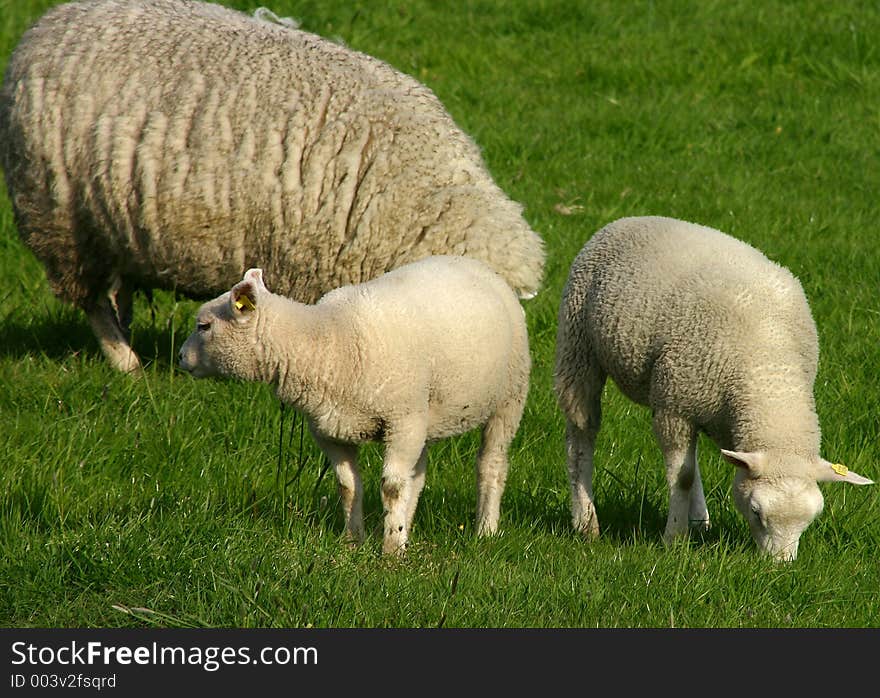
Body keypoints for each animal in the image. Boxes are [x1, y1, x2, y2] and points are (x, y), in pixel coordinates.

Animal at [0, 0, 548, 372]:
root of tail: (48, 24)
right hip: (59, 217)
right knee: (90, 299)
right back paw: (126, 363)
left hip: (110, 221)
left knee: (116, 289)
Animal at [175, 256, 524, 556]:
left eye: (204, 326)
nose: (179, 357)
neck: (327, 342)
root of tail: (473, 263)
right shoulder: (330, 431)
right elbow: (348, 486)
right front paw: (353, 541)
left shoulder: (401, 419)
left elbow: (392, 487)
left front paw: (391, 551)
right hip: (423, 414)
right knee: (417, 474)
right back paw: (408, 527)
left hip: (509, 396)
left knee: (491, 465)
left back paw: (485, 530)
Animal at [552, 216, 868, 560]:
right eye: (756, 512)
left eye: (812, 518)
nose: (779, 566)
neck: (770, 372)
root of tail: (631, 219)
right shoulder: (674, 409)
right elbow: (683, 476)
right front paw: (674, 538)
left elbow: (693, 467)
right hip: (579, 347)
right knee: (581, 436)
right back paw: (586, 521)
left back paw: (699, 521)